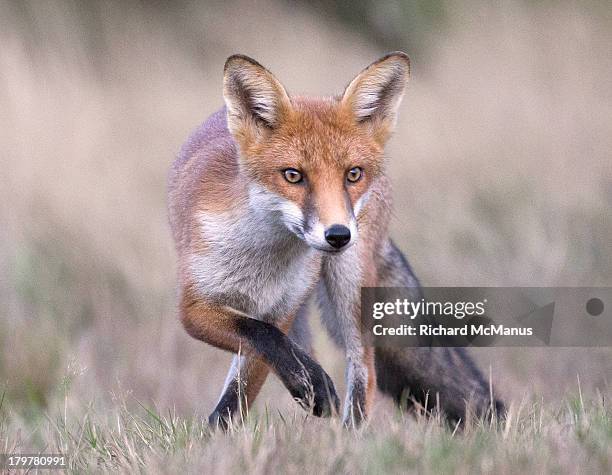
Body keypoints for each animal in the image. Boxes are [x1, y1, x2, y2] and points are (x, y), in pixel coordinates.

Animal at [167, 52, 502, 428]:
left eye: (352, 174)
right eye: (293, 175)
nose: (339, 235)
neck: (259, 258)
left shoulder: (281, 309)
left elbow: (252, 370)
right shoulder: (194, 308)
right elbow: (263, 342)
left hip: (348, 282)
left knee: (364, 367)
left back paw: (351, 435)